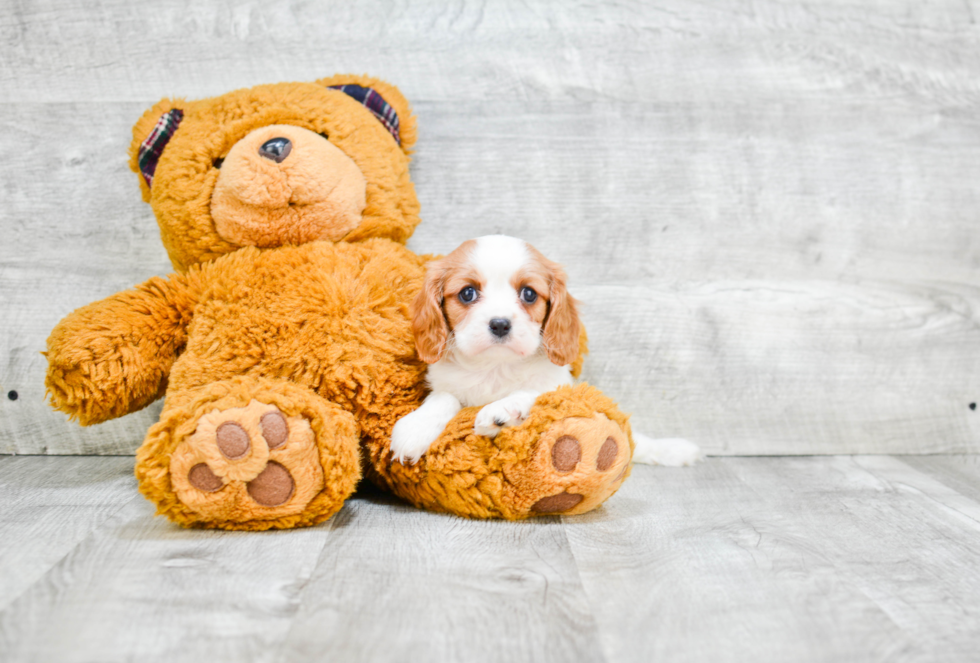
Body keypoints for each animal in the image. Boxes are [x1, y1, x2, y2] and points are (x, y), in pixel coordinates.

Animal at [388, 236, 580, 464]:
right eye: (467, 293)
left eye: (529, 294)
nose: (500, 324)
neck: (494, 366)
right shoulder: (445, 384)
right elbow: (444, 396)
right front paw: (416, 427)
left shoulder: (560, 385)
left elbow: (535, 391)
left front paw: (503, 409)